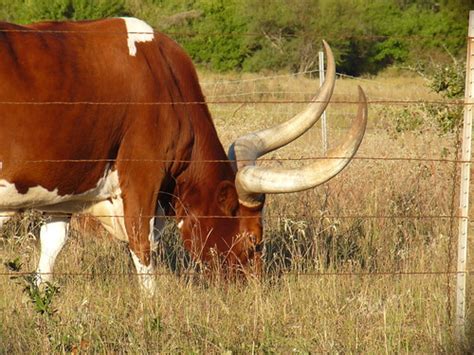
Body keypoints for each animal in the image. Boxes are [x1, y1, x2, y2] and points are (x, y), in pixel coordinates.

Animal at [0, 17, 366, 294]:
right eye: (254, 240)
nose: (252, 291)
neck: (166, 83)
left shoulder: (66, 186)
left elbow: (51, 246)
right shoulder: (142, 177)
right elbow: (142, 245)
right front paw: (151, 305)